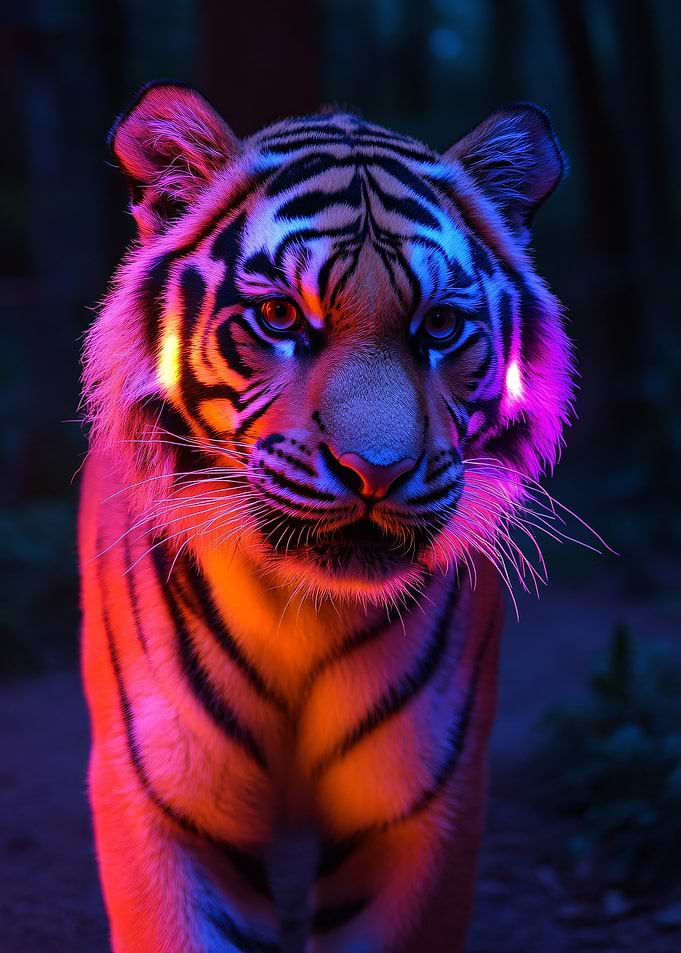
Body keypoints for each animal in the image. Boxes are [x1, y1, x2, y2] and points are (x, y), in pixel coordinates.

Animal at [79, 82, 573, 953]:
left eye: (439, 326)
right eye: (279, 317)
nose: (376, 470)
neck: (300, 611)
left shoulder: (419, 814)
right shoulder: (165, 806)